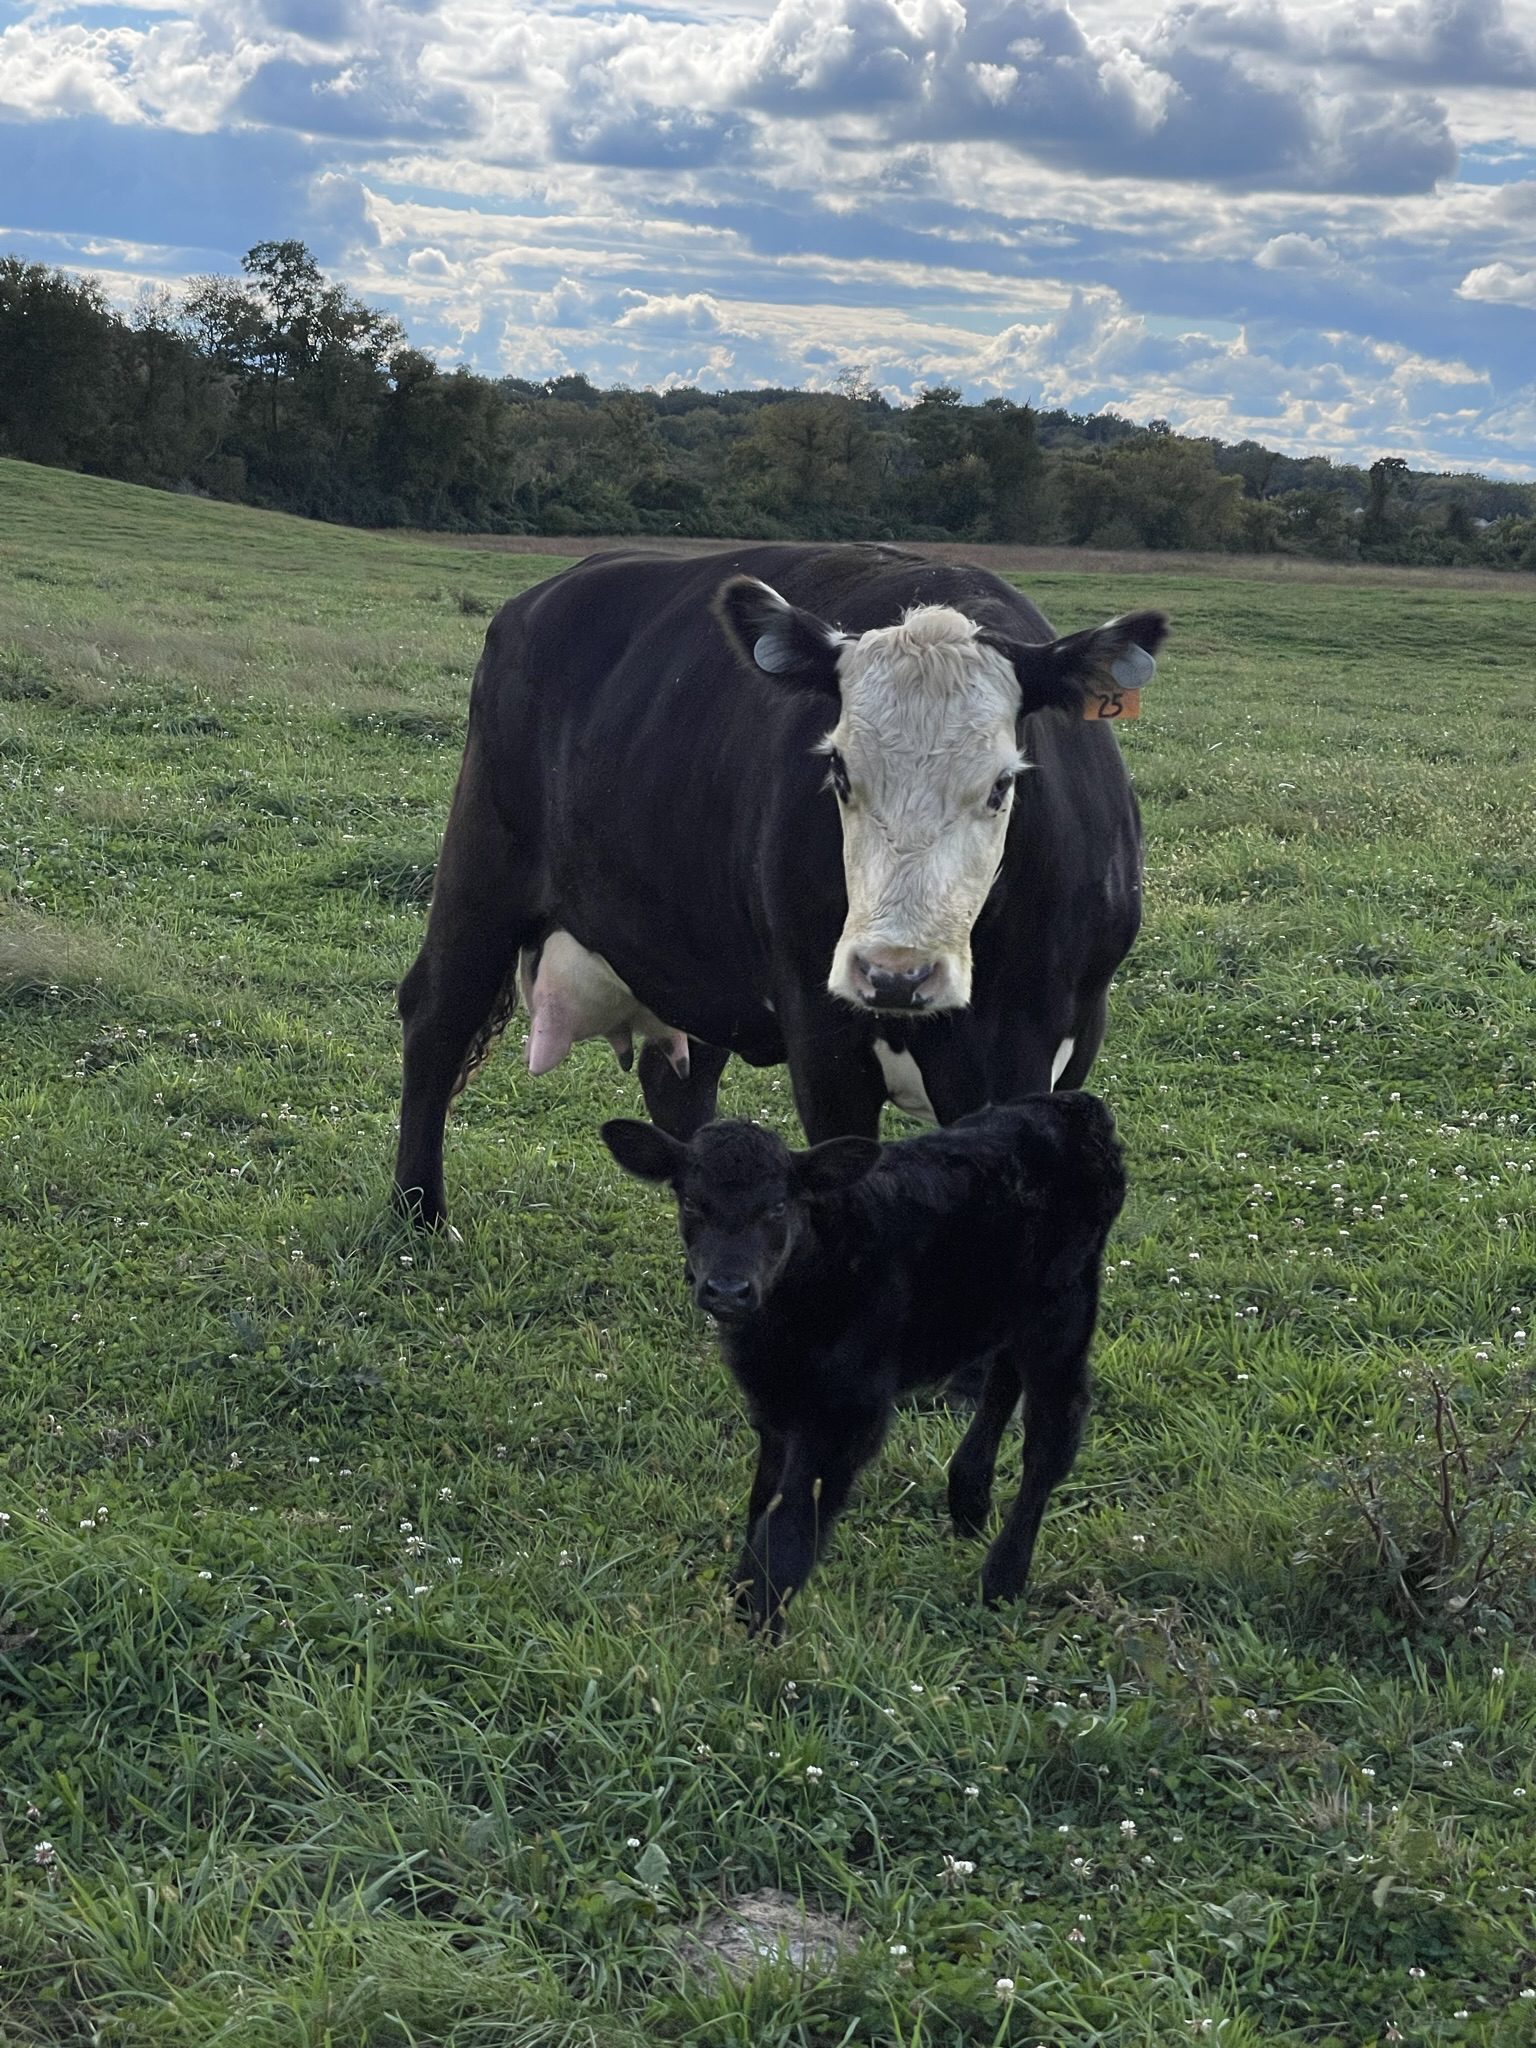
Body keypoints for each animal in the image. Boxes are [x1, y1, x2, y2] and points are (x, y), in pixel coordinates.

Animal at [394, 543, 1164, 1230]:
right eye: (839, 771)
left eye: (1003, 783)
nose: (894, 973)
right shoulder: (824, 1039)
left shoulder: (1047, 1045)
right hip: (482, 873)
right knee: (436, 1017)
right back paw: (419, 1214)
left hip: (688, 949)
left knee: (679, 1083)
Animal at [600, 1092, 1127, 1634]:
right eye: (690, 1203)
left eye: (778, 1206)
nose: (728, 1289)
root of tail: (1073, 1107)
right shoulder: (774, 1406)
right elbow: (763, 1500)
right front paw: (745, 1601)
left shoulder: (849, 1413)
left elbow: (790, 1523)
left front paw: (756, 1624)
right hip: (1007, 1306)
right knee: (1003, 1381)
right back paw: (969, 1500)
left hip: (1064, 1310)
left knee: (1051, 1435)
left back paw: (1002, 1578)